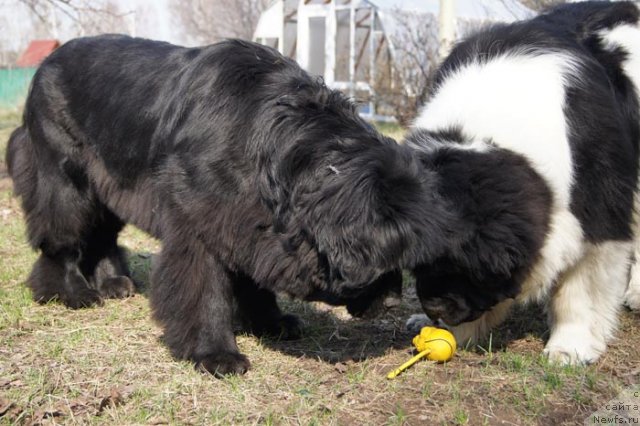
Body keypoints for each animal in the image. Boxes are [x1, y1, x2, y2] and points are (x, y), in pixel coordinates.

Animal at [5, 37, 448, 376]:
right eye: (381, 263)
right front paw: (216, 355)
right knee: (62, 237)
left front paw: (271, 322)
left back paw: (115, 283)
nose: (393, 302)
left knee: (103, 234)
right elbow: (206, 292)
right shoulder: (200, 222)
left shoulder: (247, 221)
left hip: (109, 179)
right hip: (62, 176)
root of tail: (47, 62)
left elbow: (253, 279)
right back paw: (71, 292)